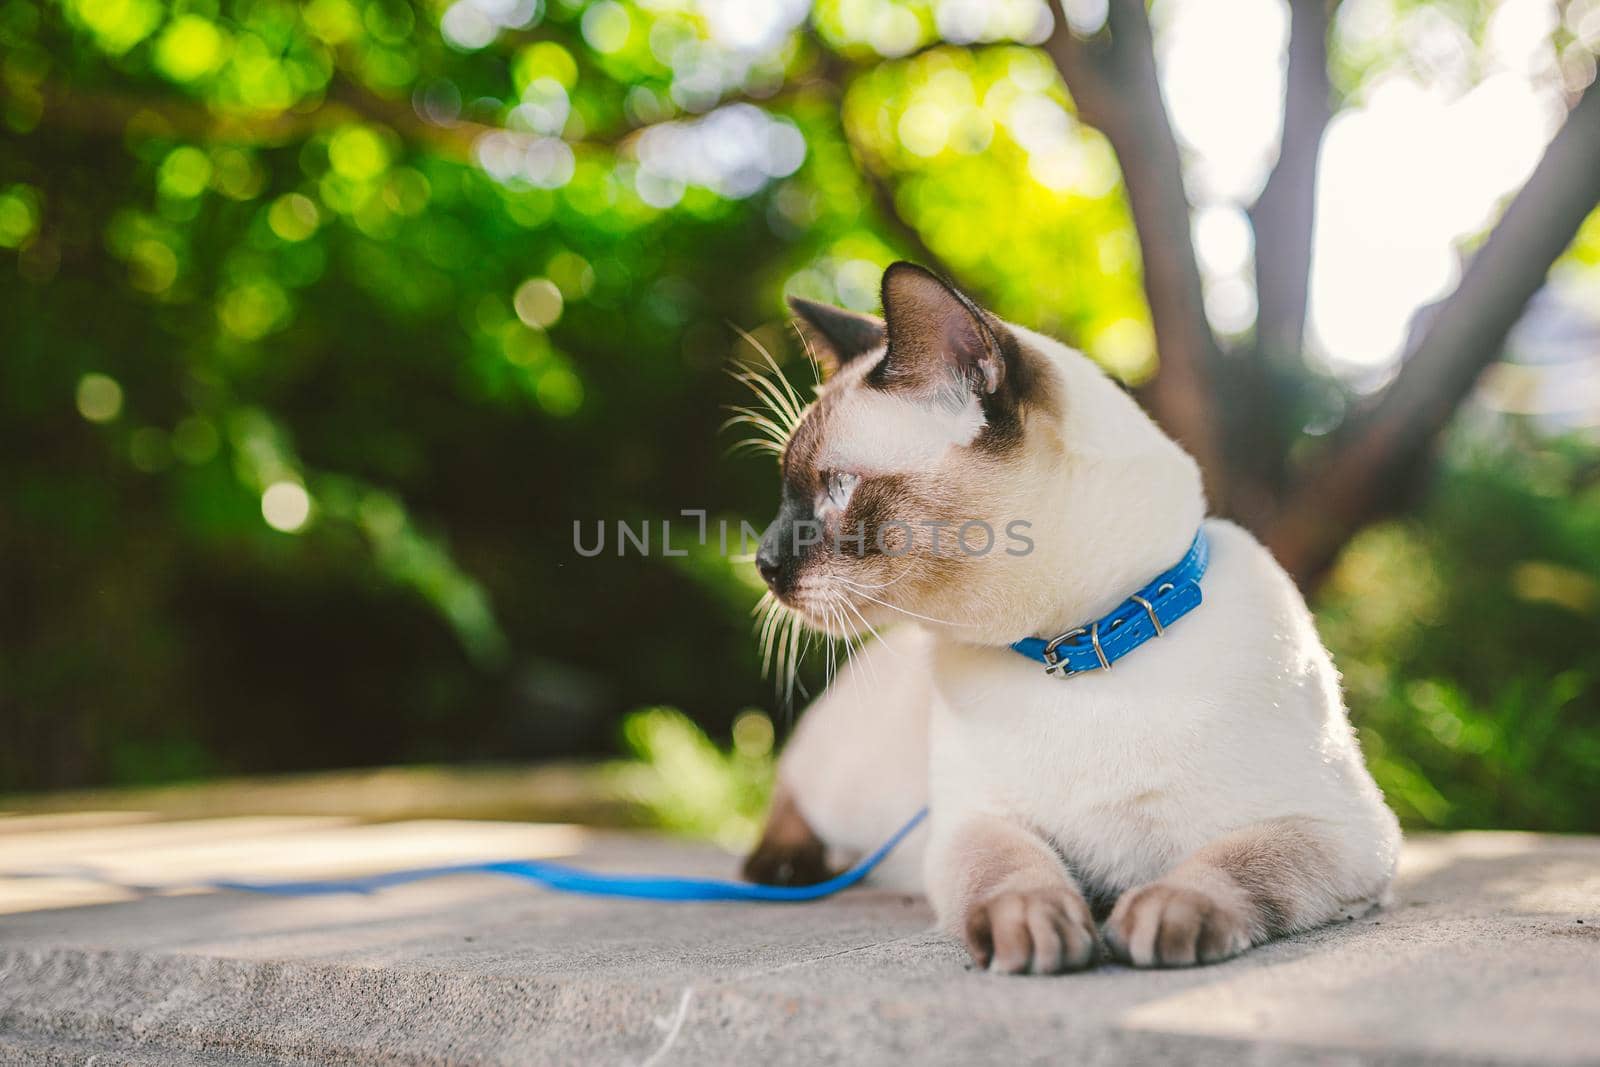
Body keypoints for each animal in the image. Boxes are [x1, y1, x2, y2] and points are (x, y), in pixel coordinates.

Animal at [739, 262, 1401, 972]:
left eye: (837, 488)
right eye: (786, 491)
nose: (763, 562)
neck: (1079, 647)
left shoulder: (1337, 830)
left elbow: (1233, 864)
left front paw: (1164, 914)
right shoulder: (978, 823)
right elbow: (1012, 875)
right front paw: (1033, 930)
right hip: (845, 777)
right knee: (791, 794)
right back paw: (781, 869)